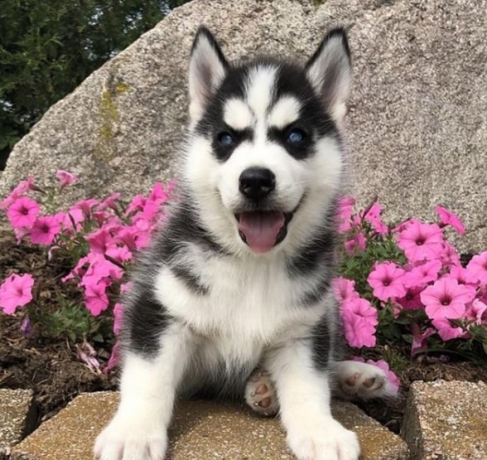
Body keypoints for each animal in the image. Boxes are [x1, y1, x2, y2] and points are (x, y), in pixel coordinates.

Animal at [94, 27, 392, 460]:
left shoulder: (304, 326)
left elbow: (310, 383)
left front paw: (320, 431)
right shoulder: (160, 308)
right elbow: (150, 378)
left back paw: (351, 376)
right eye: (225, 139)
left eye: (296, 136)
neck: (253, 263)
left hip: (329, 310)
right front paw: (132, 433)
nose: (255, 180)